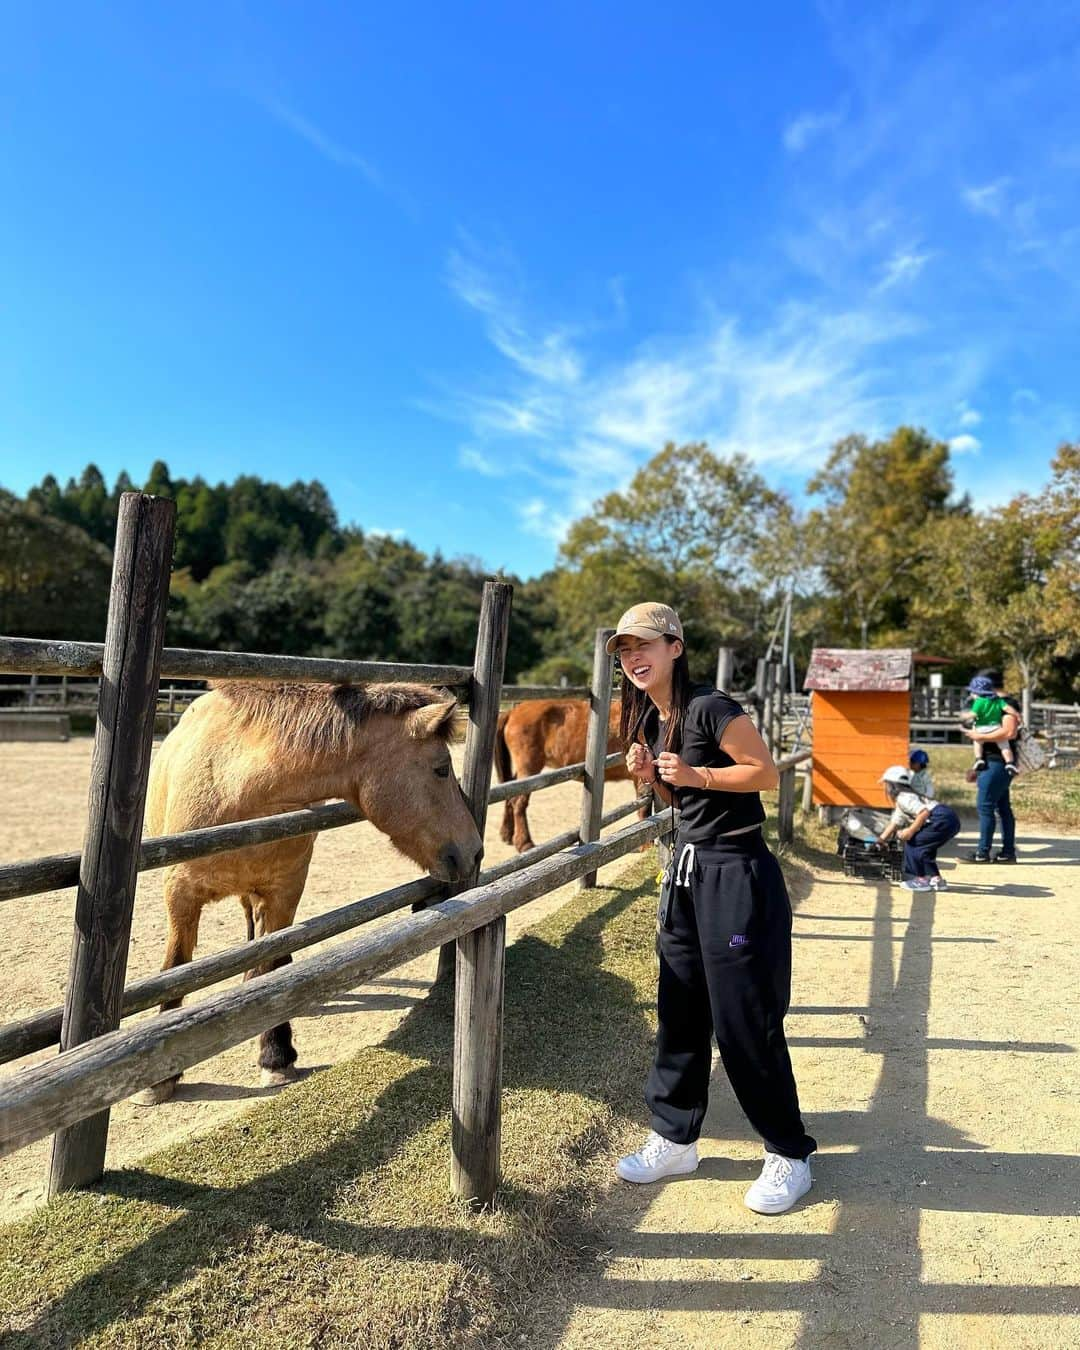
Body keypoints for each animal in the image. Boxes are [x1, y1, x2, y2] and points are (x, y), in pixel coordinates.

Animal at [138, 680, 480, 1101]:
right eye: (442, 769)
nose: (474, 850)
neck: (236, 789)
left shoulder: (284, 892)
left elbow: (271, 963)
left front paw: (275, 1055)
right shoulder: (180, 895)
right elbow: (175, 968)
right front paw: (159, 1080)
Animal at [491, 702, 650, 847]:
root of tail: (512, 712)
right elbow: (644, 808)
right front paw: (646, 845)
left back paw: (507, 834)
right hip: (528, 768)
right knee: (519, 801)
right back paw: (524, 843)